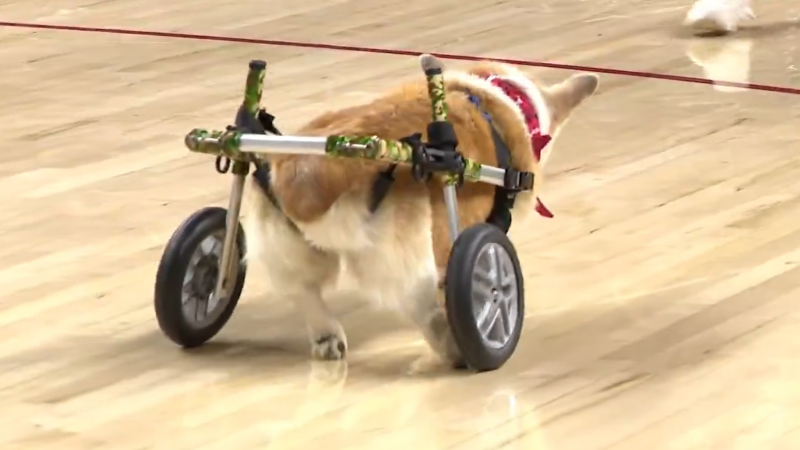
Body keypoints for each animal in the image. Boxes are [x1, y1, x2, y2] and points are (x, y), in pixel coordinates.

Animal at [241, 57, 596, 366]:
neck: (500, 97)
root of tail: (312, 170)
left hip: (287, 247)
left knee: (303, 291)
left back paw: (326, 336)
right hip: (414, 258)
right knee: (425, 307)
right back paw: (456, 350)